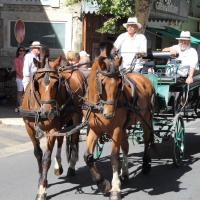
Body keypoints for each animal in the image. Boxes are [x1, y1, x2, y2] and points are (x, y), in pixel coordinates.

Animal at [20, 48, 85, 200]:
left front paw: (42, 189)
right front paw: (41, 180)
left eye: (57, 83)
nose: (47, 111)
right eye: (37, 82)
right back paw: (58, 166)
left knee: (74, 139)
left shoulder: (51, 129)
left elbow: (45, 158)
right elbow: (38, 153)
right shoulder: (29, 128)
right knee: (61, 140)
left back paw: (71, 167)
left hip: (77, 116)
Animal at [83, 41, 155, 199]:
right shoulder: (94, 129)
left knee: (147, 140)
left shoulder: (116, 129)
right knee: (126, 146)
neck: (99, 106)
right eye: (102, 83)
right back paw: (126, 173)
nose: (109, 114)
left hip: (145, 117)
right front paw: (102, 184)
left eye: (118, 84)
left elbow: (114, 158)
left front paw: (115, 188)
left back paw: (146, 165)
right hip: (124, 127)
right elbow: (87, 157)